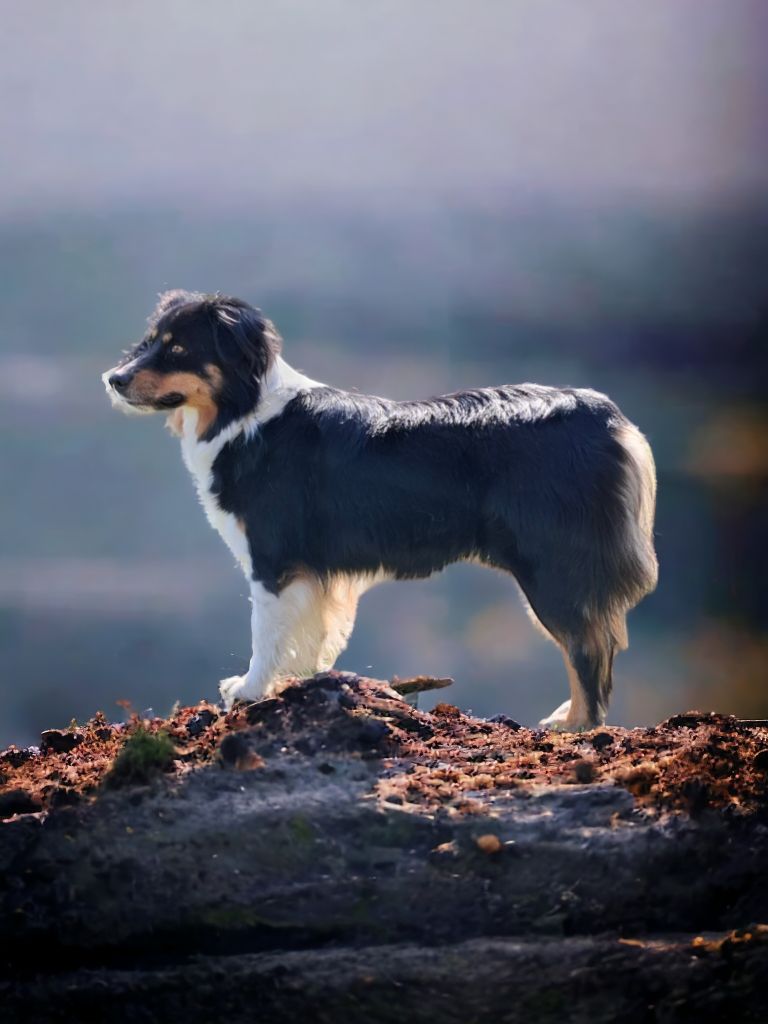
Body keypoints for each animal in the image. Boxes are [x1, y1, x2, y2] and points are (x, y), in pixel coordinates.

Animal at [102, 292, 659, 733]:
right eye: (149, 341)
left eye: (178, 349)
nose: (112, 379)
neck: (246, 411)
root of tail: (612, 419)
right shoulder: (310, 575)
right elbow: (309, 637)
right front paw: (296, 687)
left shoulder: (273, 558)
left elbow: (265, 631)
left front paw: (249, 689)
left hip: (552, 567)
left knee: (588, 647)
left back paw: (575, 723)